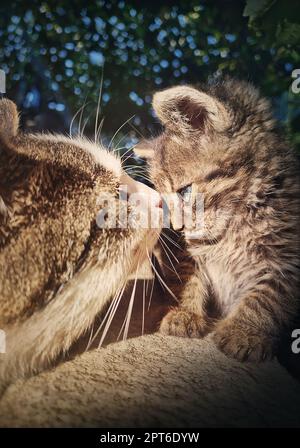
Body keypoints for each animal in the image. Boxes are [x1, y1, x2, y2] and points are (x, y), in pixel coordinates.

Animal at [137, 78, 300, 364]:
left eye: (185, 192)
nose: (177, 228)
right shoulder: (183, 251)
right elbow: (187, 277)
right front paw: (186, 313)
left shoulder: (288, 257)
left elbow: (269, 295)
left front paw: (243, 332)